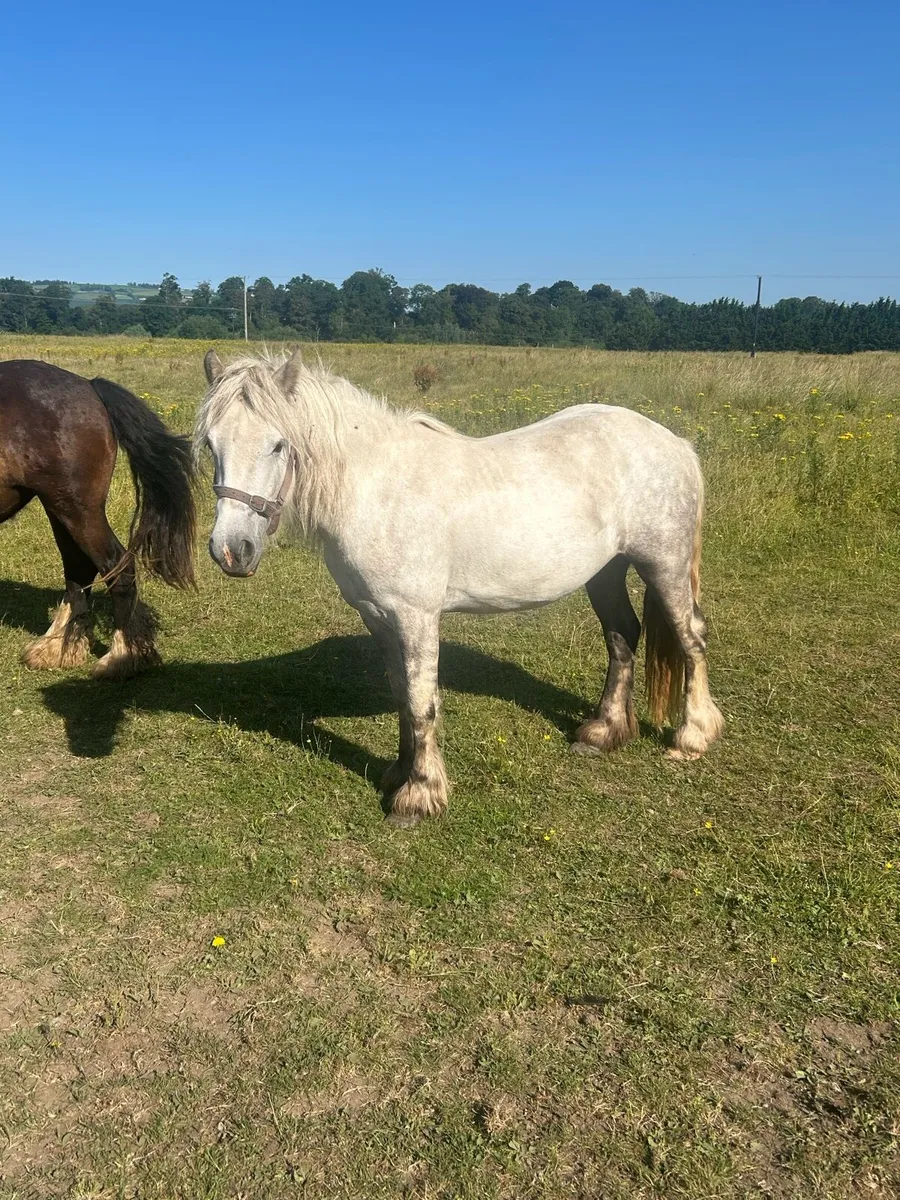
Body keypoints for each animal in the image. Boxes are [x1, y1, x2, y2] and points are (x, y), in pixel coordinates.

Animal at [0, 360, 196, 678]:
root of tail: (89, 386)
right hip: (60, 508)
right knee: (79, 569)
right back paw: (57, 648)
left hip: (78, 509)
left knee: (117, 566)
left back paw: (121, 657)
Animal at [196, 348, 724, 826]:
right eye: (211, 447)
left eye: (277, 445)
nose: (231, 550)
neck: (377, 490)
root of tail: (674, 442)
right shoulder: (378, 616)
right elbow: (402, 695)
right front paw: (399, 773)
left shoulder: (416, 616)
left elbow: (422, 702)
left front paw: (419, 796)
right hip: (606, 571)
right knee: (622, 636)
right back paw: (603, 732)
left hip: (665, 564)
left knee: (690, 637)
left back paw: (694, 737)